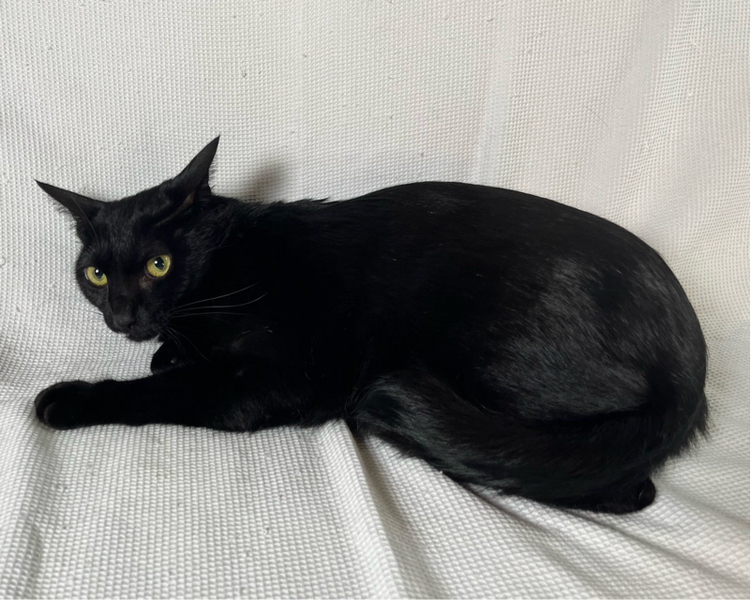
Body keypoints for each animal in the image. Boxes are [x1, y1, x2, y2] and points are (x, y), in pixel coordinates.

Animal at [34, 137, 708, 513]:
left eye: (158, 264)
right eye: (95, 274)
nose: (122, 315)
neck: (224, 266)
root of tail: (690, 371)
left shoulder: (277, 379)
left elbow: (162, 388)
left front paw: (67, 400)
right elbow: (167, 362)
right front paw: (163, 351)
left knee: (621, 484)